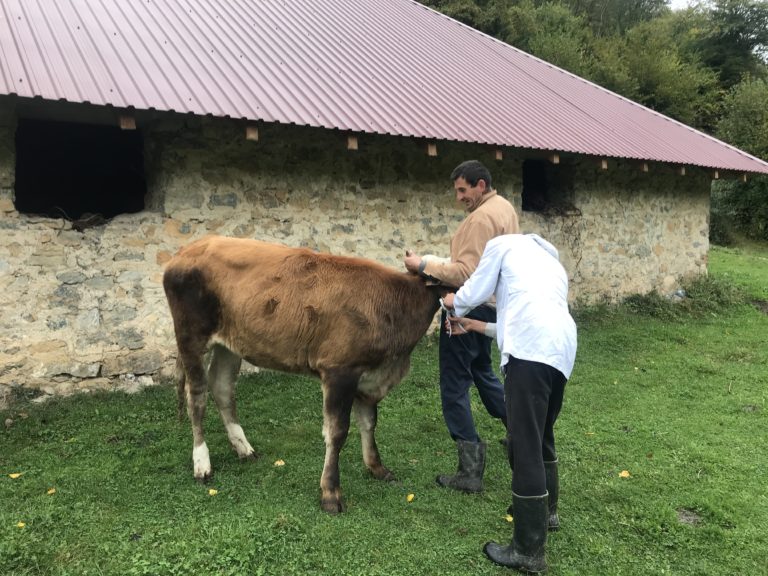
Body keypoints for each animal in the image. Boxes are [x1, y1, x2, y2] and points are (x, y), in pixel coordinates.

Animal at [162, 235, 440, 512]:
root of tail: (191, 247)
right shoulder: (340, 371)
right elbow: (337, 432)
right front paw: (330, 492)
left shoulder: (369, 378)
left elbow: (369, 423)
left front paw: (377, 468)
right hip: (191, 337)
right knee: (197, 399)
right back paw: (202, 463)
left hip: (231, 343)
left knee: (221, 387)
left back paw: (244, 448)